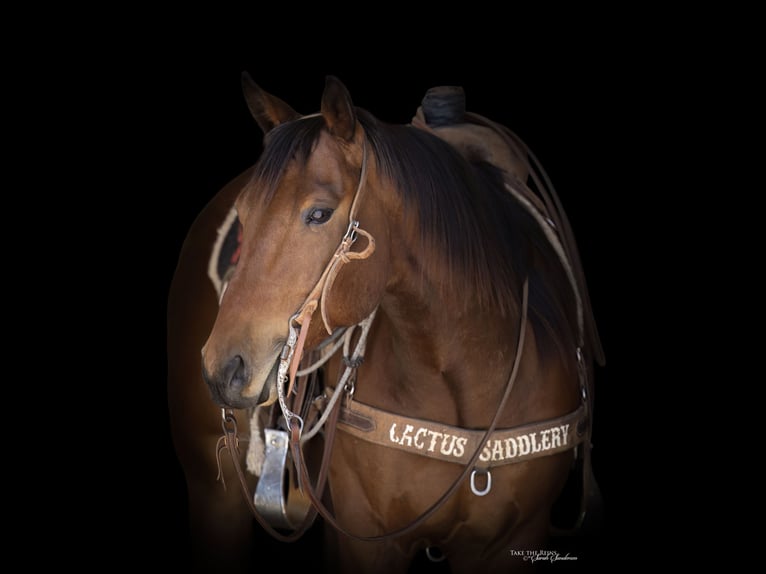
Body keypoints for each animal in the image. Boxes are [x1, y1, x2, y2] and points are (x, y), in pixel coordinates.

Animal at [167, 74, 605, 573]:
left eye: (319, 213)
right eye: (243, 215)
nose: (223, 368)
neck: (462, 374)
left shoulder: (513, 539)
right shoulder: (366, 538)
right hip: (214, 495)